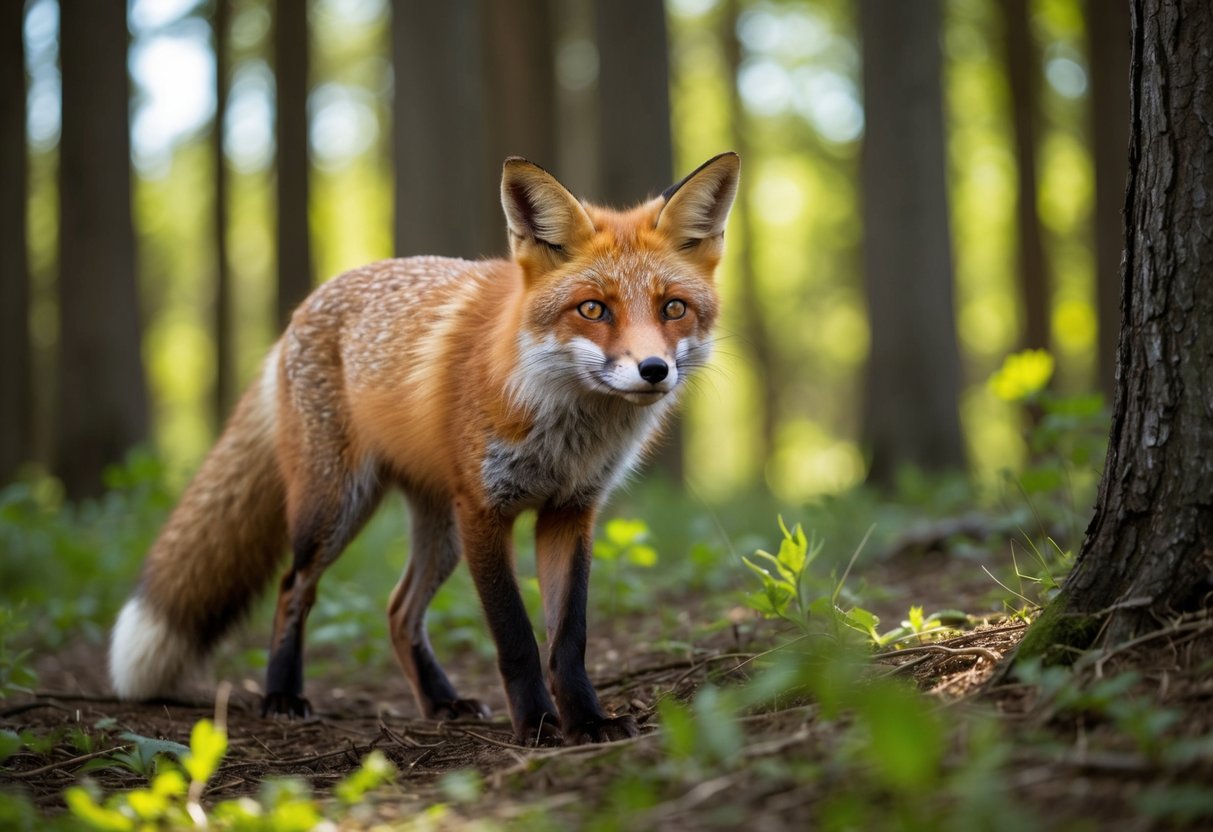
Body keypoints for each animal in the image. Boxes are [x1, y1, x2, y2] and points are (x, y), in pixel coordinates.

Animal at [108, 152, 739, 745]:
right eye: (592, 309)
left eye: (673, 308)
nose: (653, 370)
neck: (563, 429)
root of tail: (302, 310)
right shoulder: (484, 510)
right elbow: (515, 636)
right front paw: (537, 726)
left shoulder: (571, 510)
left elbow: (569, 639)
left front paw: (586, 722)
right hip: (336, 508)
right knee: (294, 589)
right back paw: (282, 695)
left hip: (438, 532)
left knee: (398, 610)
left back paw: (442, 703)